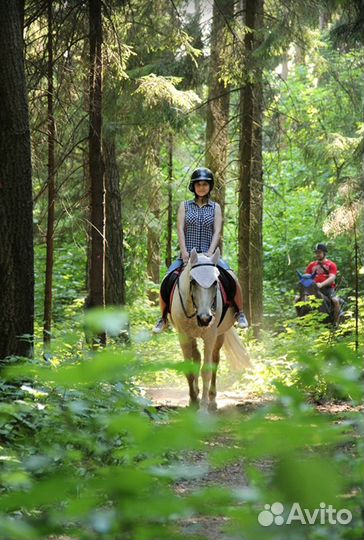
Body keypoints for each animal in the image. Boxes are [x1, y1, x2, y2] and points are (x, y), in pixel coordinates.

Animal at [169, 248, 252, 410]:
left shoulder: (210, 336)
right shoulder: (183, 336)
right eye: (193, 281)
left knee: (215, 361)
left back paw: (212, 400)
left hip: (220, 335)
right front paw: (193, 400)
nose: (205, 318)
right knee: (196, 357)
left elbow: (207, 370)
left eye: (215, 282)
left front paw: (203, 407)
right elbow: (189, 367)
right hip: (192, 336)